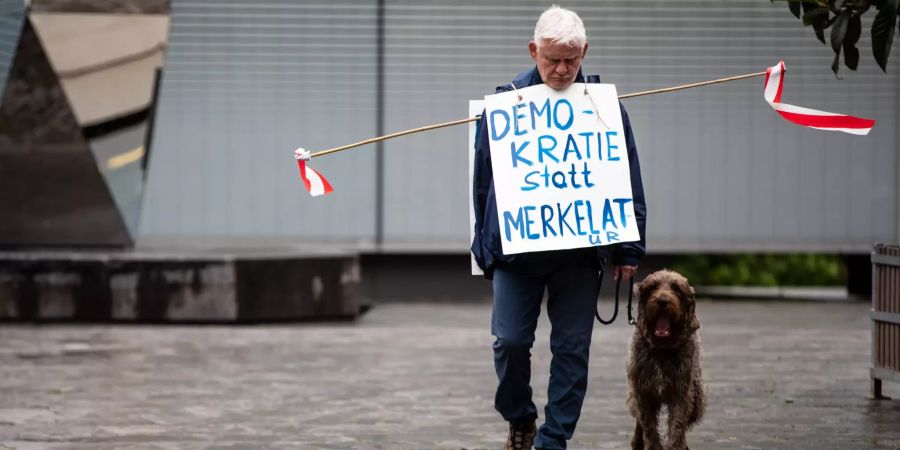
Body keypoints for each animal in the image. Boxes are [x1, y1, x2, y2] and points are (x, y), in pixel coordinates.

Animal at [624, 268, 704, 448]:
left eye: (676, 288)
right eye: (653, 287)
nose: (662, 301)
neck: (662, 348)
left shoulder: (681, 393)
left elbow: (677, 425)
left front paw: (675, 446)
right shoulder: (644, 391)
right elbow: (648, 426)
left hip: (697, 397)